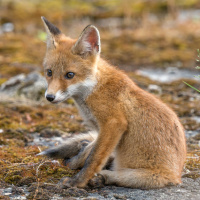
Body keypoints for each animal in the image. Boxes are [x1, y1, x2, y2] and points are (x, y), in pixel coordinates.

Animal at [38, 16, 187, 189]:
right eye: (49, 72)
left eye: (70, 75)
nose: (49, 97)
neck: (94, 88)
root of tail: (177, 175)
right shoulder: (102, 131)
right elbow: (90, 151)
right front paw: (75, 161)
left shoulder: (114, 124)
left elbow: (94, 158)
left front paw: (78, 182)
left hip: (147, 177)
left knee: (118, 175)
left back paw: (101, 178)